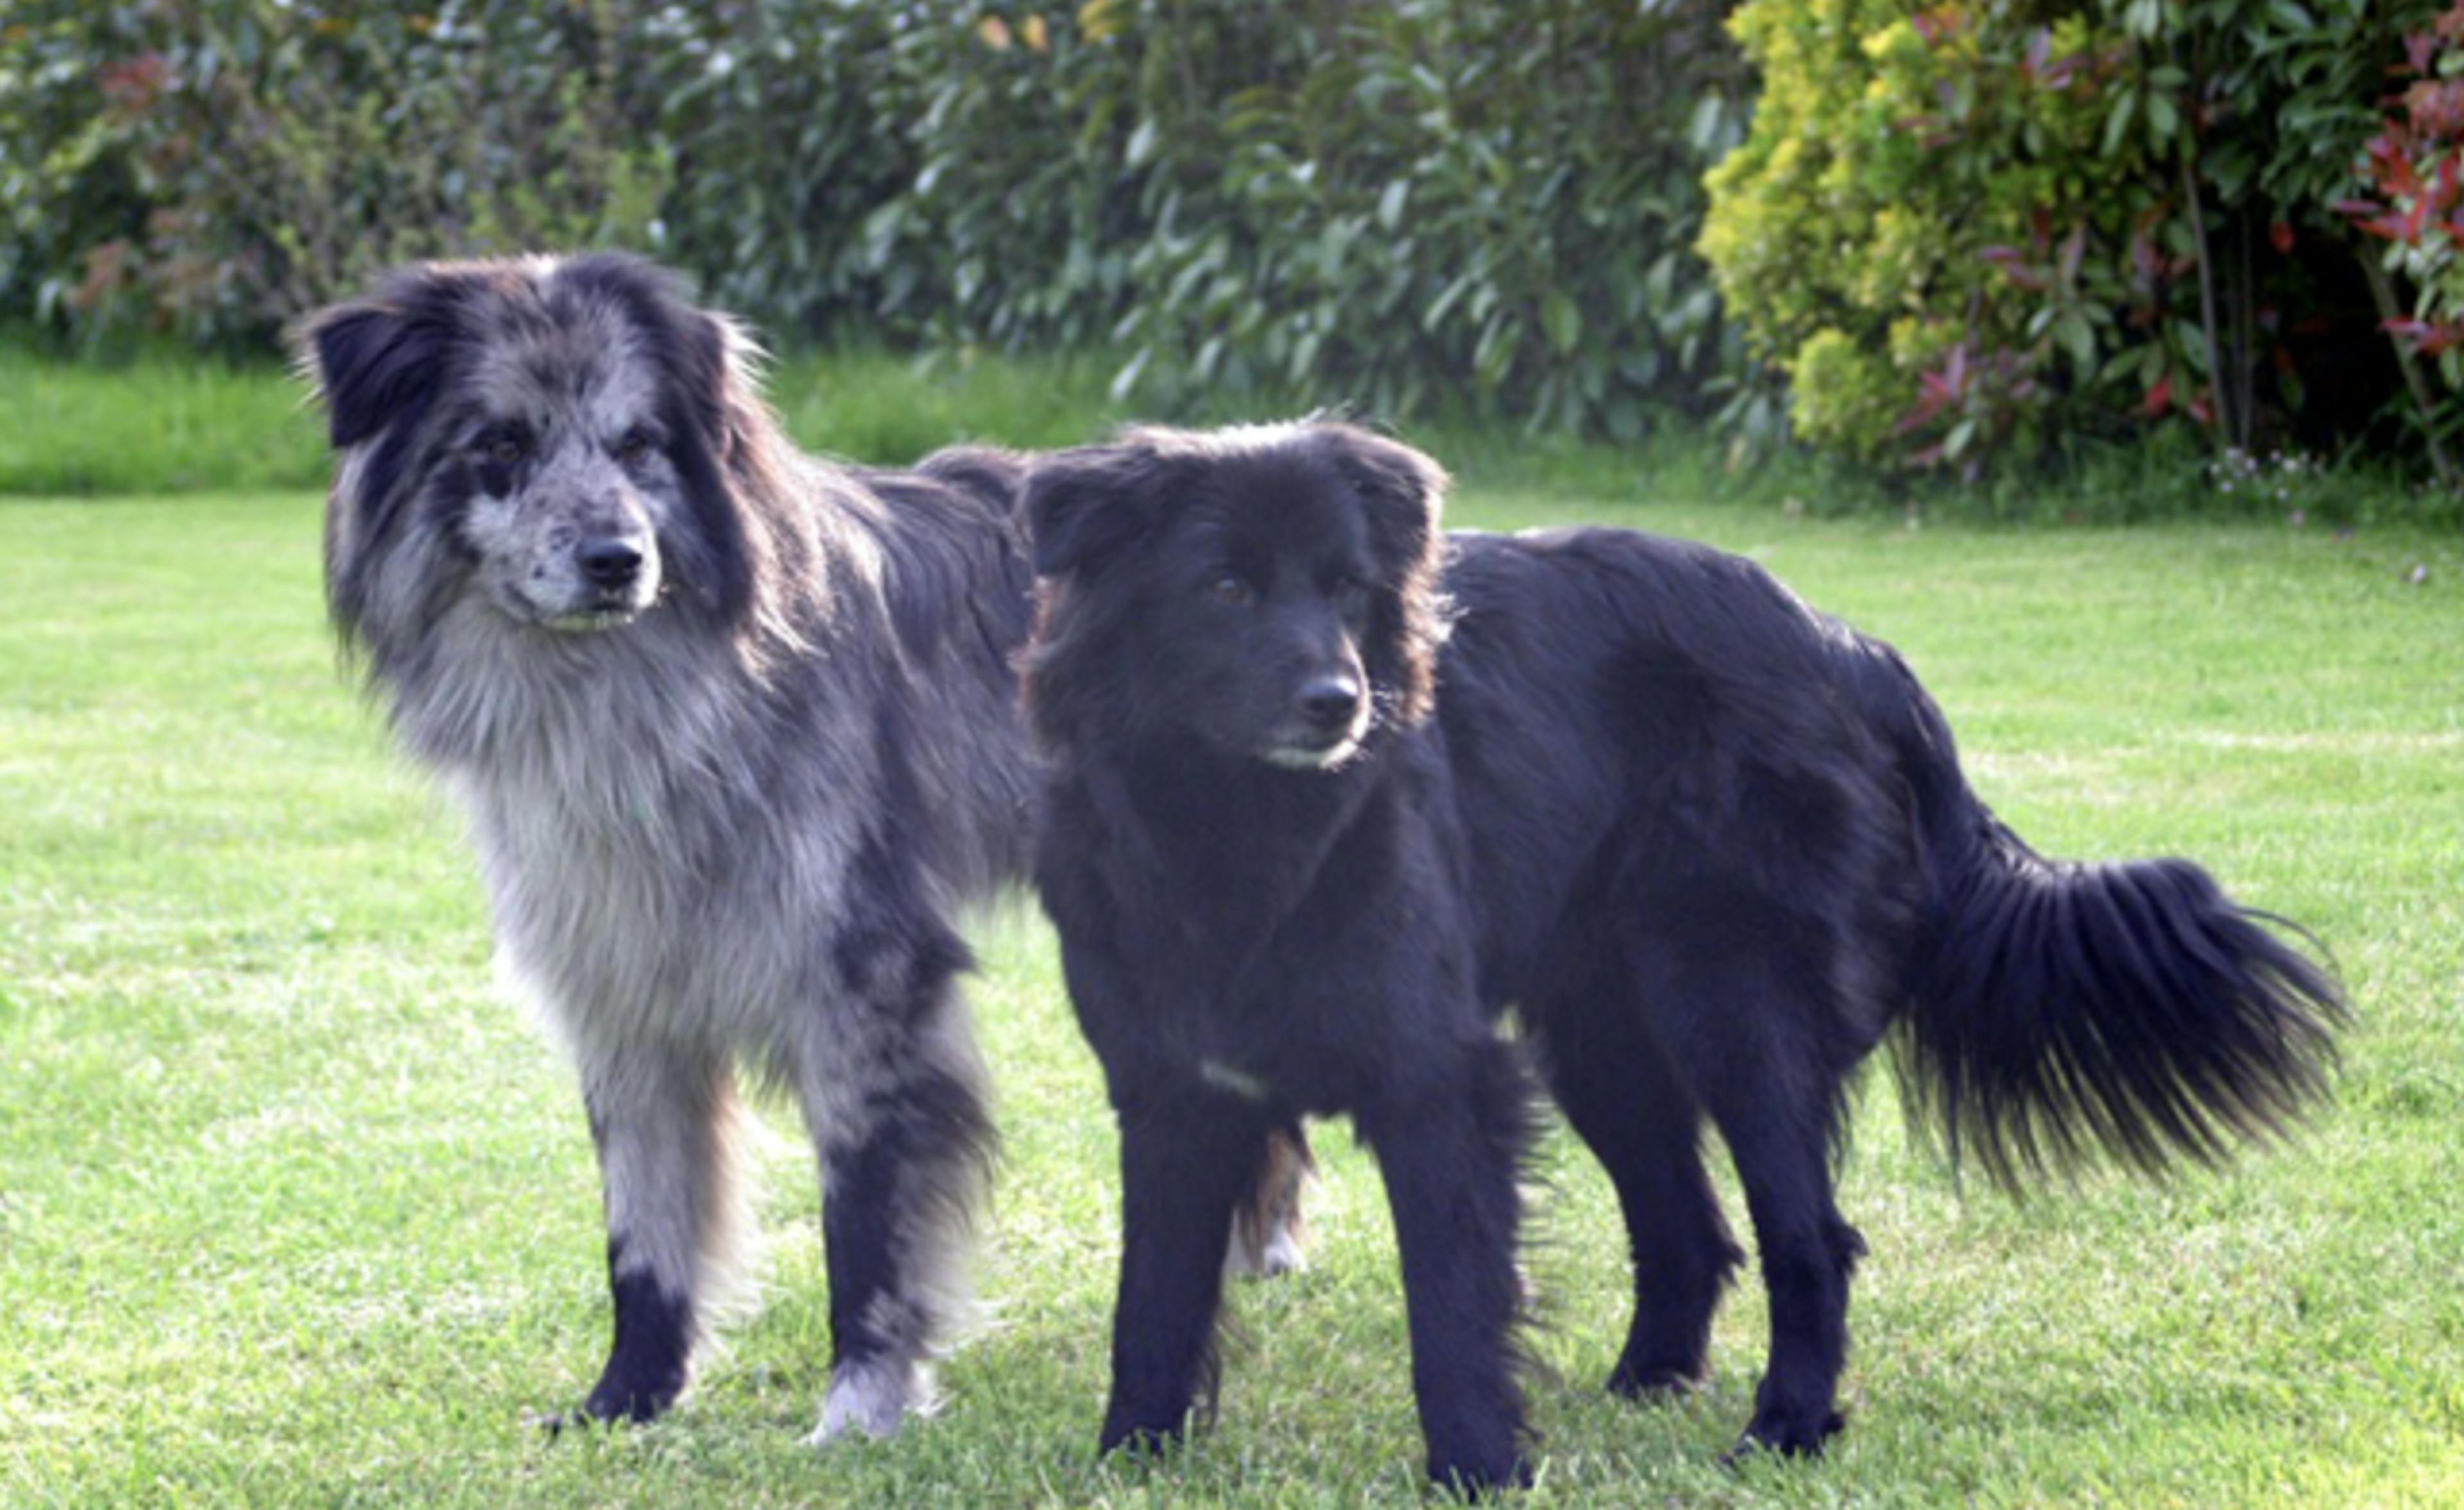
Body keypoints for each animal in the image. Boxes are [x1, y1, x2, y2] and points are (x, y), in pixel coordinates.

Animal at [1015, 421, 2325, 1488]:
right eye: (1225, 586)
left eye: (1347, 586)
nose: (1341, 702)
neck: (1237, 826)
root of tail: (1851, 649)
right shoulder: (1174, 1091)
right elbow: (1154, 1297)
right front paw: (1132, 1458)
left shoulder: (1437, 1080)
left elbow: (1451, 1307)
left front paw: (1478, 1472)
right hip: (1604, 1035)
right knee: (1691, 1228)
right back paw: (1647, 1385)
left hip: (1738, 1007)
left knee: (1810, 1240)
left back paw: (1783, 1429)